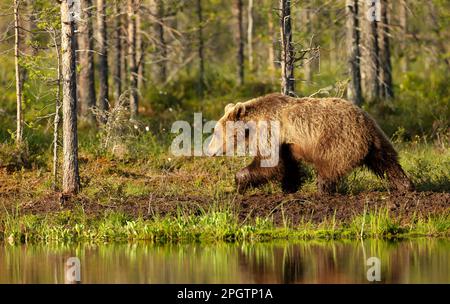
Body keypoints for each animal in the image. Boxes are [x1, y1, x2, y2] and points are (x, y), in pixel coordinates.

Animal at [206, 91, 414, 194]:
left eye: (215, 132)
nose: (209, 151)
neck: (253, 126)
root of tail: (365, 124)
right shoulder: (286, 143)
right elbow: (287, 165)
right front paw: (289, 187)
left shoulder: (271, 132)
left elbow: (269, 164)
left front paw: (239, 182)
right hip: (377, 140)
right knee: (387, 161)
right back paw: (405, 185)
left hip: (336, 139)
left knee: (330, 165)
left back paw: (322, 188)